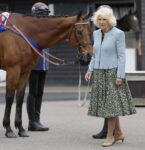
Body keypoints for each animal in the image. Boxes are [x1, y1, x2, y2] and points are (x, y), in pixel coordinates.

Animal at [0, 11, 93, 139]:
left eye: (91, 31)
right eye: (79, 31)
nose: (88, 56)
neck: (24, 32)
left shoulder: (25, 71)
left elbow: (19, 97)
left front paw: (20, 128)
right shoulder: (13, 70)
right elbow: (9, 97)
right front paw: (8, 129)